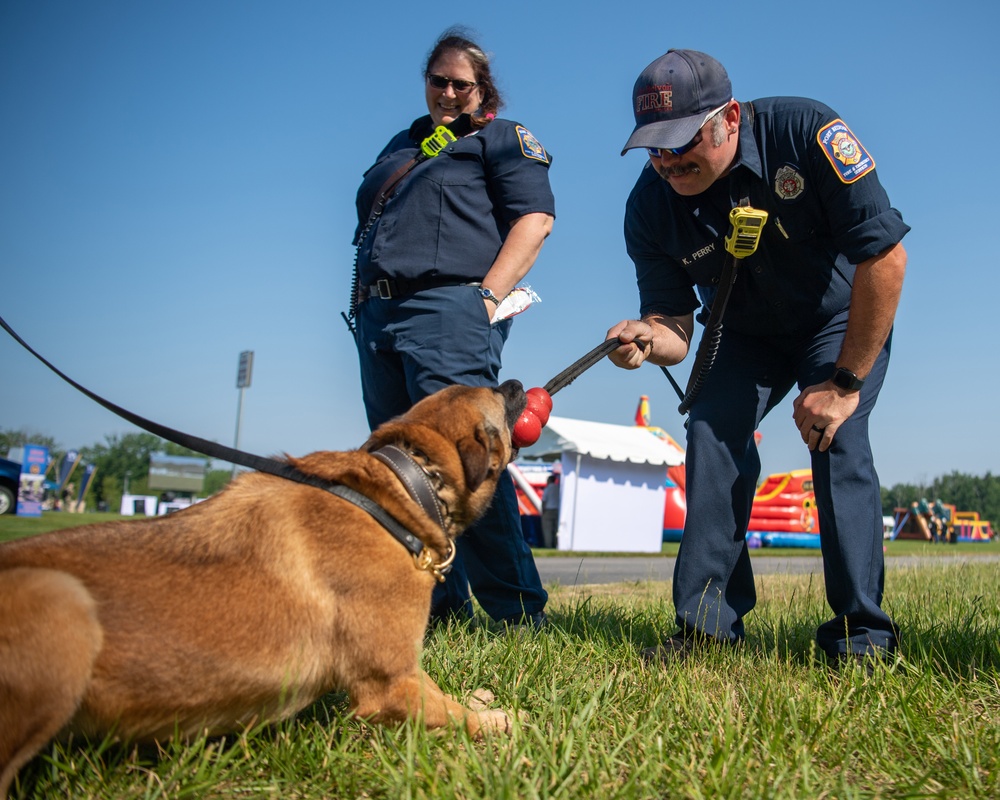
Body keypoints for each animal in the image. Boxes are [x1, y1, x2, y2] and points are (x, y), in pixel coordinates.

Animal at [0, 380, 528, 792]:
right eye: (497, 395)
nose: (517, 382)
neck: (405, 482)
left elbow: (446, 693)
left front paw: (483, 700)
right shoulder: (390, 683)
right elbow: (452, 712)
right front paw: (500, 721)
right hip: (61, 600)